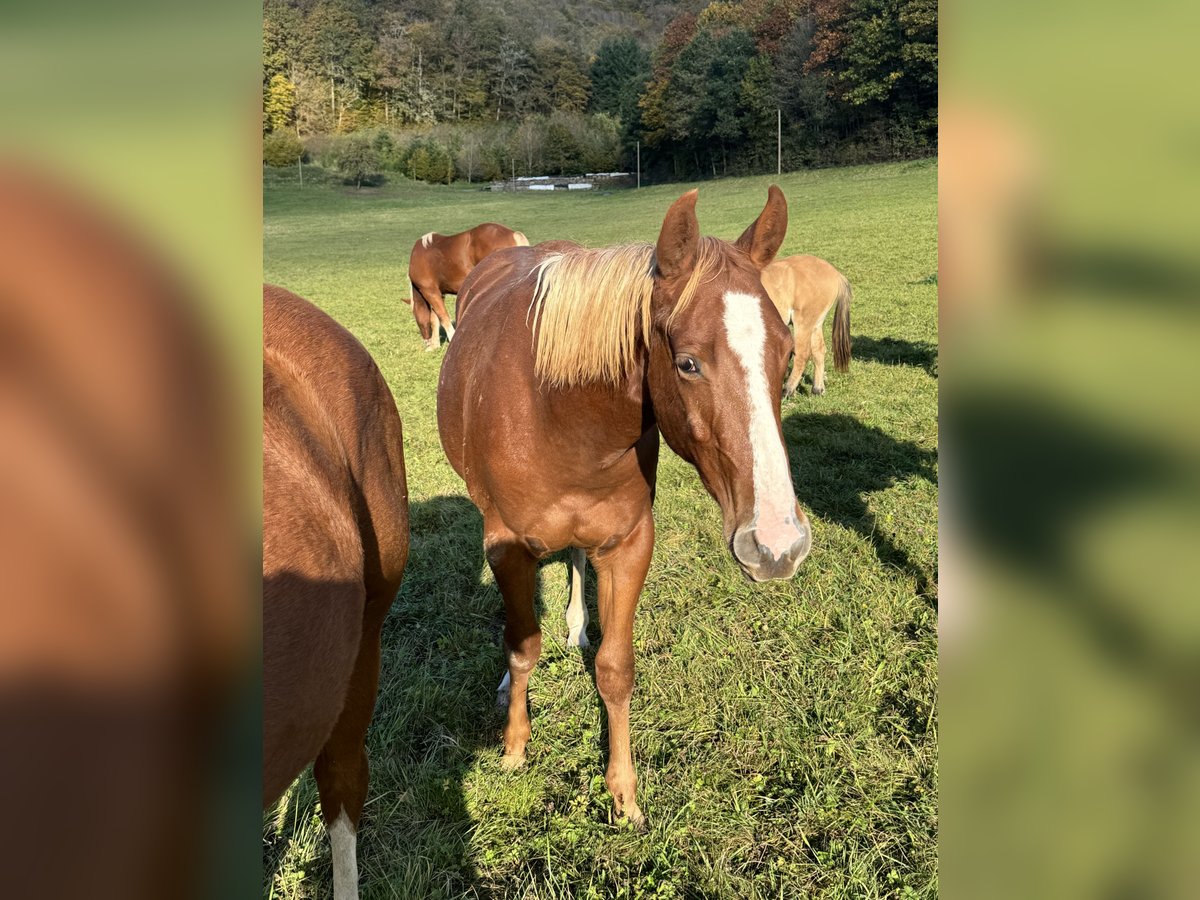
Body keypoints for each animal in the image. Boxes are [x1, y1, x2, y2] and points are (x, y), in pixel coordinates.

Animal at [405, 222, 528, 352]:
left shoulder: (430, 292)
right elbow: (435, 319)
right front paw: (435, 345)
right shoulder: (438, 294)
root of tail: (512, 233)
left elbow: (443, 317)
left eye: (415, 316)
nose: (426, 341)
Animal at [436, 187, 811, 830]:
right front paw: (513, 746)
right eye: (687, 363)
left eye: (787, 356)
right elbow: (522, 646)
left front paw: (623, 793)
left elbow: (615, 668)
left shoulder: (630, 544)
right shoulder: (506, 546)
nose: (777, 544)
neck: (557, 413)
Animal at [758, 254, 854, 393]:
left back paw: (788, 390)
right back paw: (817, 388)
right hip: (815, 324)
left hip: (803, 322)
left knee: (802, 354)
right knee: (819, 350)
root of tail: (835, 274)